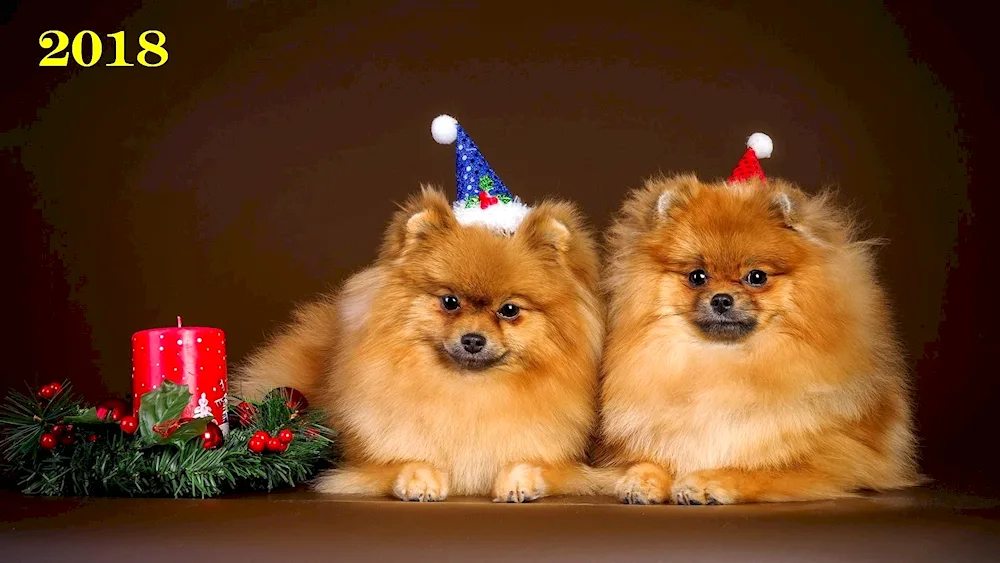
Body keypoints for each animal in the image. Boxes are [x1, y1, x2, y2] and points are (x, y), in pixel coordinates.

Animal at [234, 114, 600, 502]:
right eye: (450, 302)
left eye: (510, 310)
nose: (473, 340)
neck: (469, 392)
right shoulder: (365, 465)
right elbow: (404, 461)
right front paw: (419, 479)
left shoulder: (566, 462)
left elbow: (533, 463)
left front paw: (519, 480)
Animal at [592, 134, 920, 504]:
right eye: (697, 277)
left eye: (756, 277)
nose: (722, 299)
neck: (722, 363)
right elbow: (650, 457)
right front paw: (643, 478)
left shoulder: (836, 458)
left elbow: (759, 468)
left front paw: (708, 480)